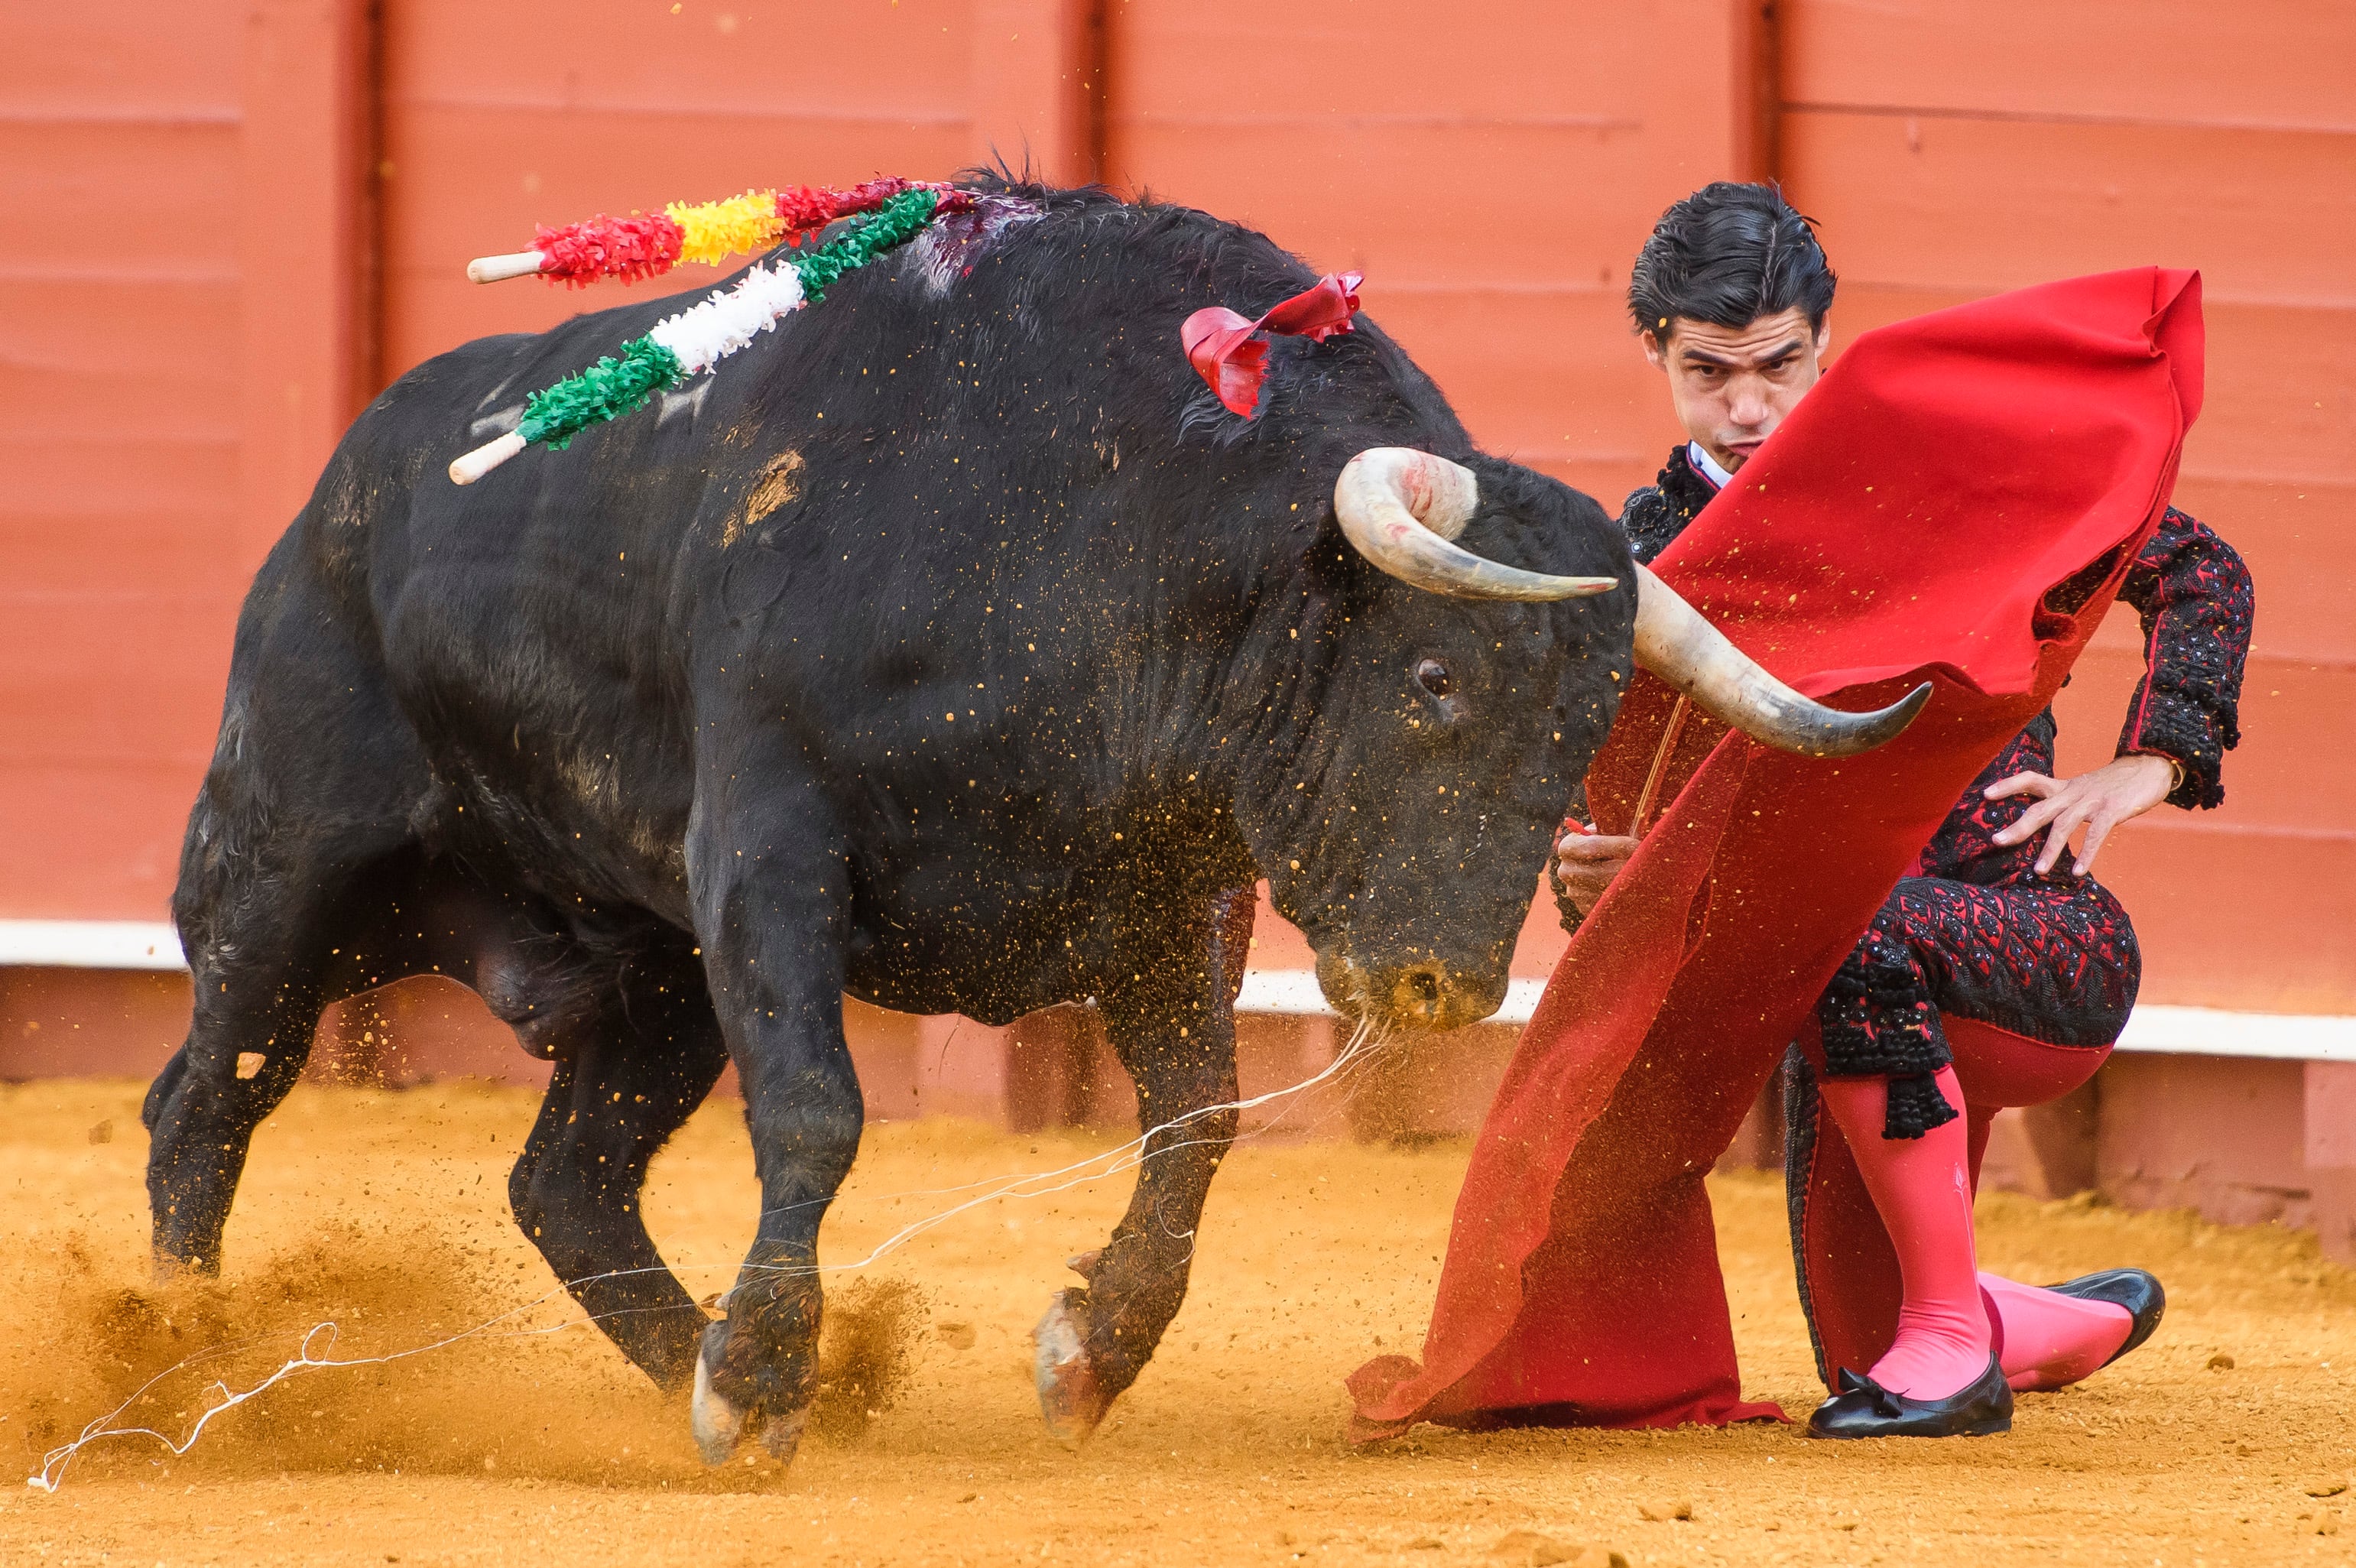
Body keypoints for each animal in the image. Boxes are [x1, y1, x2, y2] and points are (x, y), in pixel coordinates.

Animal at [142, 177, 1894, 1462]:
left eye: (1588, 727)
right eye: (1433, 678)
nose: (1443, 985)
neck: (1099, 528)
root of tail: (345, 482)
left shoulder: (1161, 894)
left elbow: (1197, 1115)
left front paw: (1081, 1349)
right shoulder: (767, 846)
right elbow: (819, 1111)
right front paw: (768, 1380)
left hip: (646, 968)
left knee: (563, 1178)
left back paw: (702, 1368)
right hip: (287, 865)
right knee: (207, 1099)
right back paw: (176, 1374)